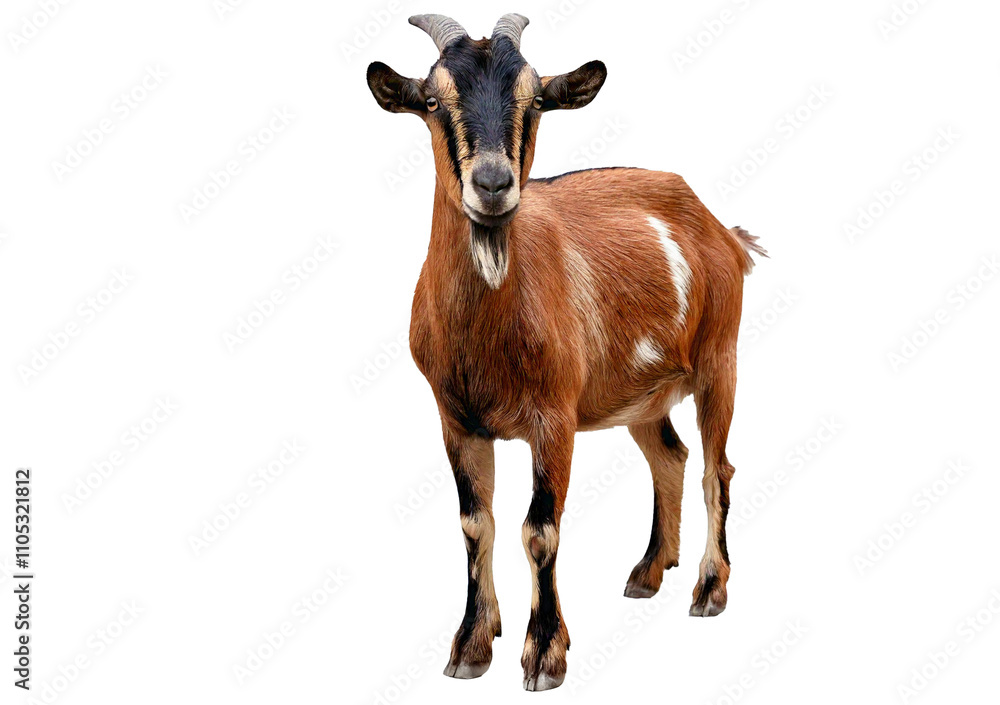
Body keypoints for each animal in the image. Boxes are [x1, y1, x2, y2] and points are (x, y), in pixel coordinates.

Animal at [366, 13, 766, 691]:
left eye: (535, 101)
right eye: (432, 102)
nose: (493, 184)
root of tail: (725, 233)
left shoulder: (554, 417)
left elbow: (539, 530)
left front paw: (545, 654)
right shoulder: (455, 419)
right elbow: (476, 524)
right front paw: (472, 645)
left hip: (721, 358)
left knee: (718, 470)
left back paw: (709, 590)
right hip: (640, 395)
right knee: (671, 457)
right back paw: (648, 572)